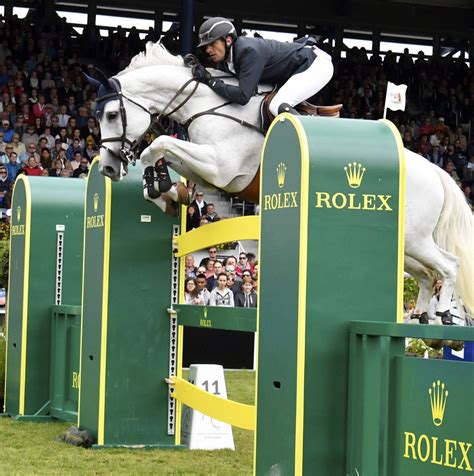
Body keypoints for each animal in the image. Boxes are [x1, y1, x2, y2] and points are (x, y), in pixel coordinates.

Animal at [86, 41, 474, 330]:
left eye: (111, 115)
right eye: (96, 116)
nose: (108, 167)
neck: (206, 104)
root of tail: (436, 171)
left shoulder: (221, 167)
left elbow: (158, 145)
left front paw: (161, 186)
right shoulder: (208, 170)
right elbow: (164, 155)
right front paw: (166, 192)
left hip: (414, 237)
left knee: (449, 265)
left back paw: (442, 313)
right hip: (405, 246)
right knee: (427, 274)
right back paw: (421, 316)